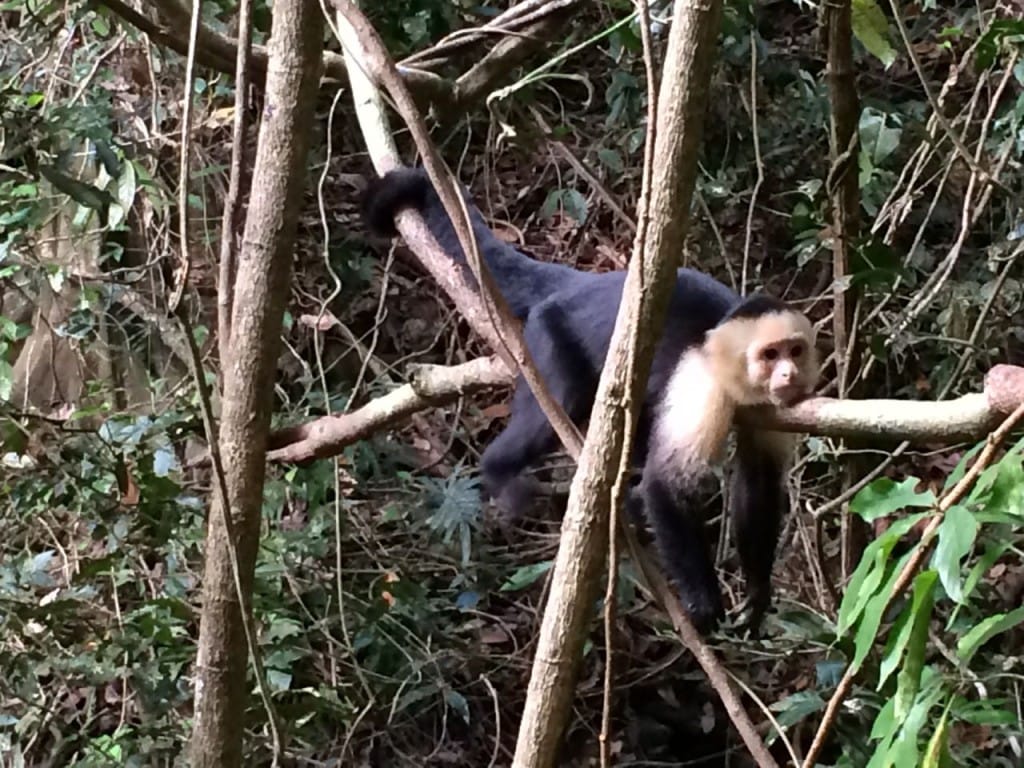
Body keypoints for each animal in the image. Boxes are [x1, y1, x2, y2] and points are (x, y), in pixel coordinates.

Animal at [364, 167, 819, 638]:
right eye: (769, 355)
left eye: (794, 351)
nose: (788, 375)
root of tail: (584, 281)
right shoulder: (702, 384)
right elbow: (667, 485)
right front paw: (704, 600)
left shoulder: (767, 410)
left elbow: (759, 483)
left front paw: (757, 594)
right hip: (548, 334)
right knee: (557, 408)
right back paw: (501, 471)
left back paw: (627, 503)